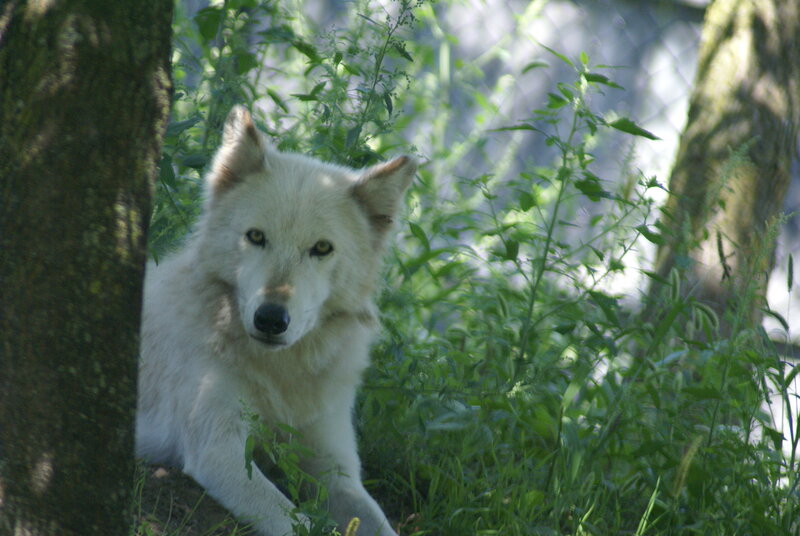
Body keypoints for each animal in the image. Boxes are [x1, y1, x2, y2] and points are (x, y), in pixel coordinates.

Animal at [136, 106, 416, 536]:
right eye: (255, 237)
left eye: (321, 248)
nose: (270, 319)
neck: (282, 374)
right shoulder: (221, 450)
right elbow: (295, 522)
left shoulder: (337, 469)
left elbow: (377, 522)